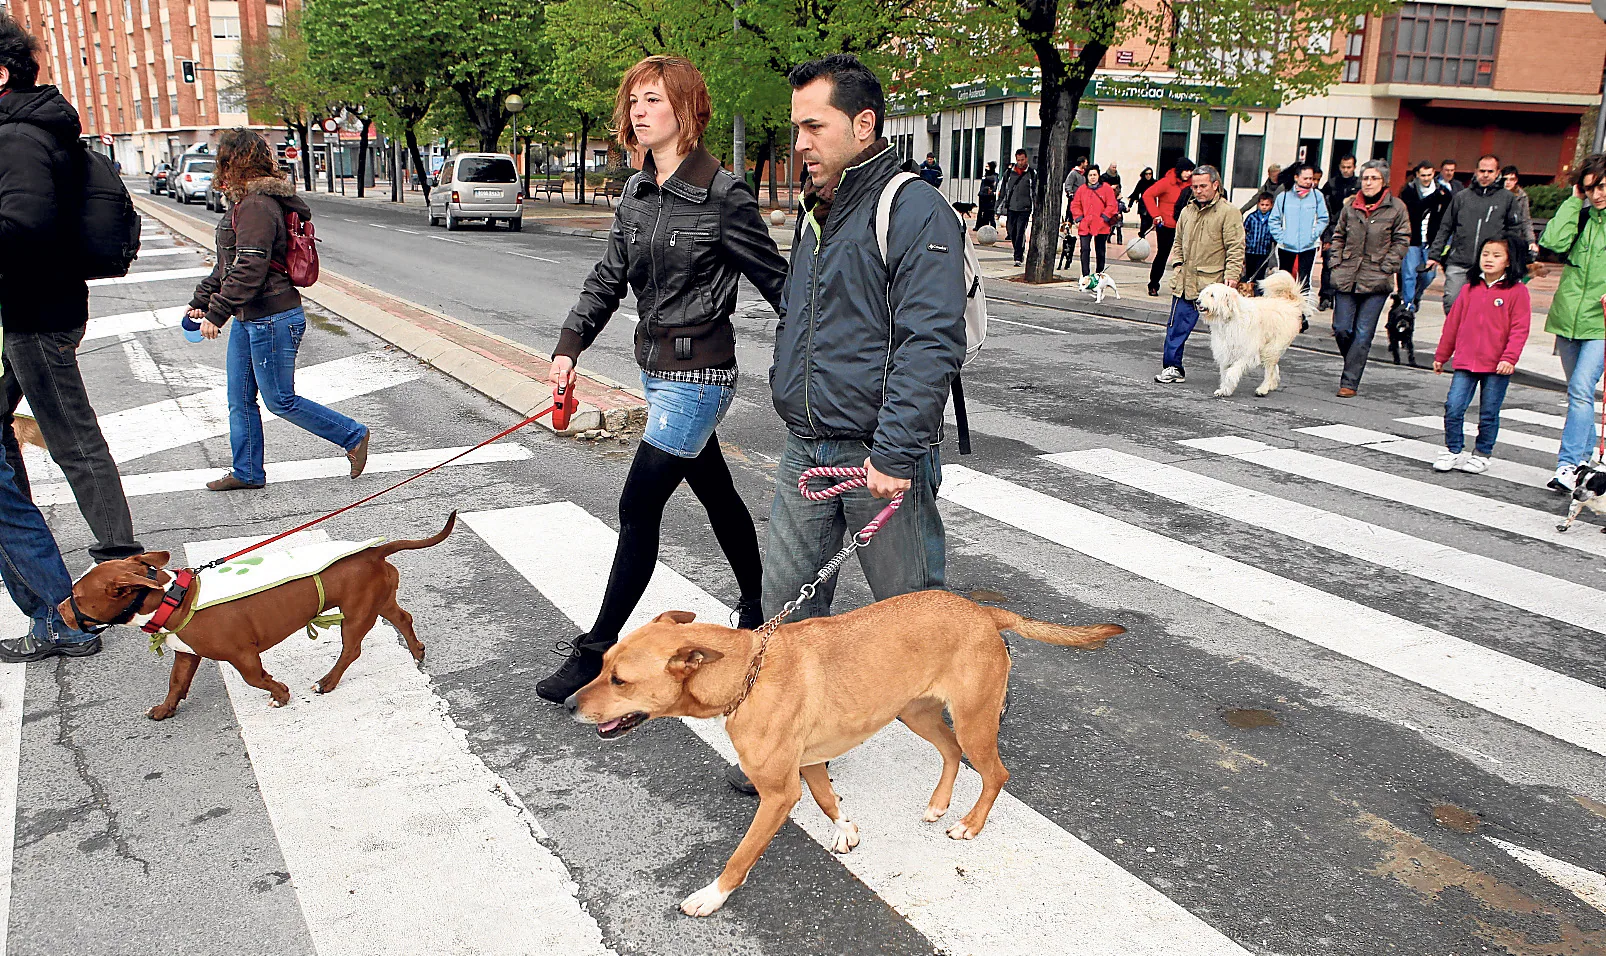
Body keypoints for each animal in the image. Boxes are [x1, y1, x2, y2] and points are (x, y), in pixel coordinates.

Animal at [565, 591, 1117, 919]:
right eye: (603, 663)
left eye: (620, 680)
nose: (570, 705)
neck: (746, 673)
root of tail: (981, 611)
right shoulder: (807, 764)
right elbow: (827, 799)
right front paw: (844, 829)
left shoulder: (778, 792)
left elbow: (741, 856)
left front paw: (711, 896)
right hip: (917, 714)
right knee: (952, 751)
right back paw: (939, 803)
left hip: (976, 722)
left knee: (996, 772)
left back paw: (969, 823)